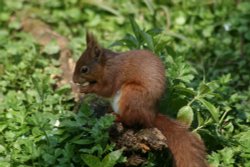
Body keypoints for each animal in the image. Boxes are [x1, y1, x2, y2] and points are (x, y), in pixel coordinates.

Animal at [72, 32, 207, 167]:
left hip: (132, 94)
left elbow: (106, 89)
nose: (73, 80)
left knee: (131, 121)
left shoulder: (113, 75)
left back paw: (118, 117)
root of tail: (151, 116)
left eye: (84, 69)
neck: (106, 64)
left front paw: (85, 88)